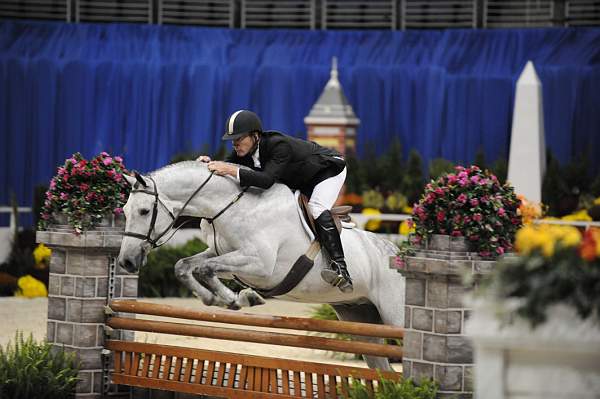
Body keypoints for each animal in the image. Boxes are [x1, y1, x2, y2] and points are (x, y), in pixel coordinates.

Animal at [116, 161, 404, 370]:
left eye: (144, 211)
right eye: (125, 211)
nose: (126, 262)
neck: (230, 207)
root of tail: (400, 254)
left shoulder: (261, 266)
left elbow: (205, 269)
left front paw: (237, 299)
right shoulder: (222, 253)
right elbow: (185, 266)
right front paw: (222, 299)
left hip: (393, 315)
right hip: (360, 320)